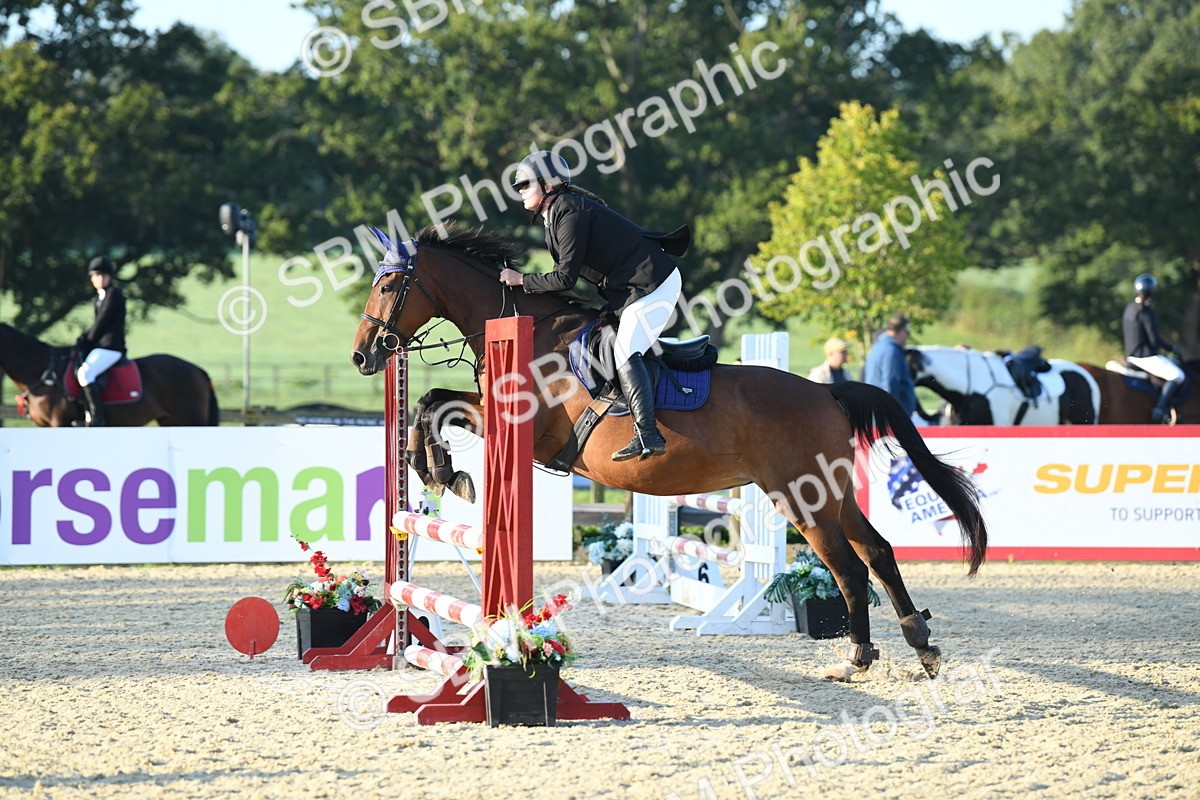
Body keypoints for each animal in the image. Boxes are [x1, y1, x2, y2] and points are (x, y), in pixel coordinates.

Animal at [349, 226, 989, 682]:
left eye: (389, 287)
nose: (363, 356)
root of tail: (826, 391)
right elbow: (429, 402)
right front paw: (434, 468)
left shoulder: (521, 427)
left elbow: (435, 405)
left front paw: (443, 470)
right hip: (830, 495)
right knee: (877, 552)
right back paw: (921, 647)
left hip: (800, 498)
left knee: (849, 568)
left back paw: (856, 657)